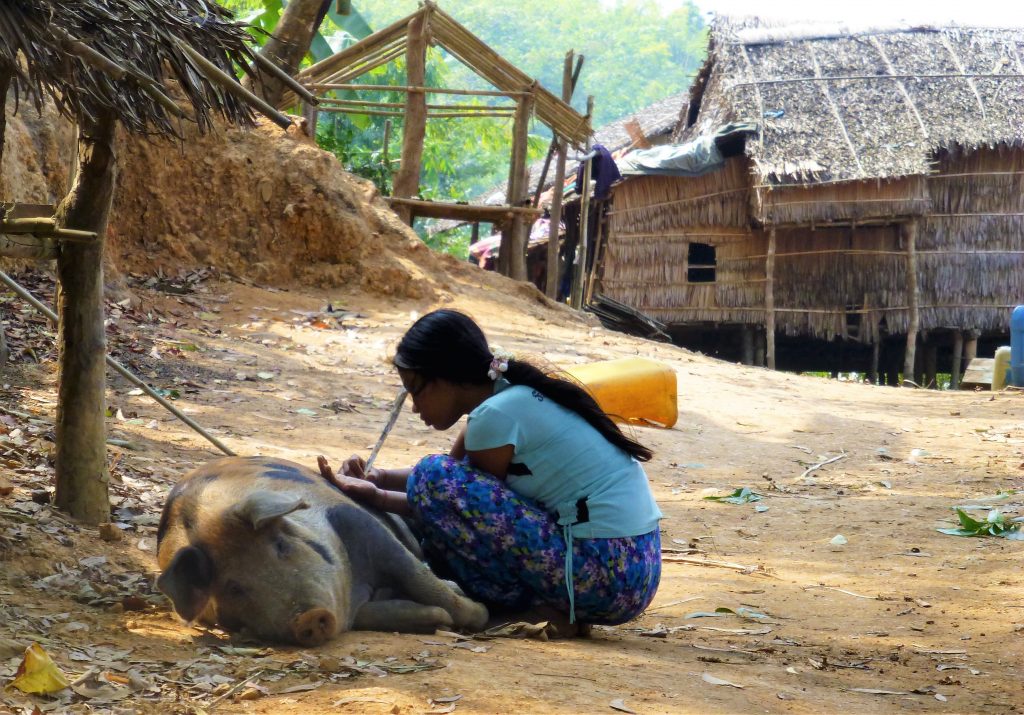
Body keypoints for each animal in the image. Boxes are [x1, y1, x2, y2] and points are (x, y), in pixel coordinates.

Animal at [155, 456, 487, 647]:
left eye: (282, 546)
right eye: (233, 588)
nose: (309, 617)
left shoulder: (357, 523)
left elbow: (423, 581)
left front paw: (479, 613)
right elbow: (384, 612)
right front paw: (440, 621)